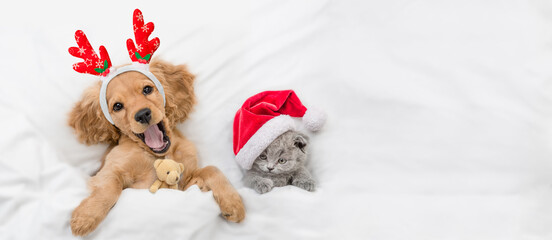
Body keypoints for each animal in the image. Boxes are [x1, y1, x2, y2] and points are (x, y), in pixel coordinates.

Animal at [68, 59, 244, 236]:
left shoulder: (184, 183)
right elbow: (110, 188)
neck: (160, 156)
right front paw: (86, 217)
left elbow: (211, 169)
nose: (143, 114)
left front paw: (233, 203)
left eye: (147, 89)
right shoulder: (110, 170)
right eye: (117, 106)